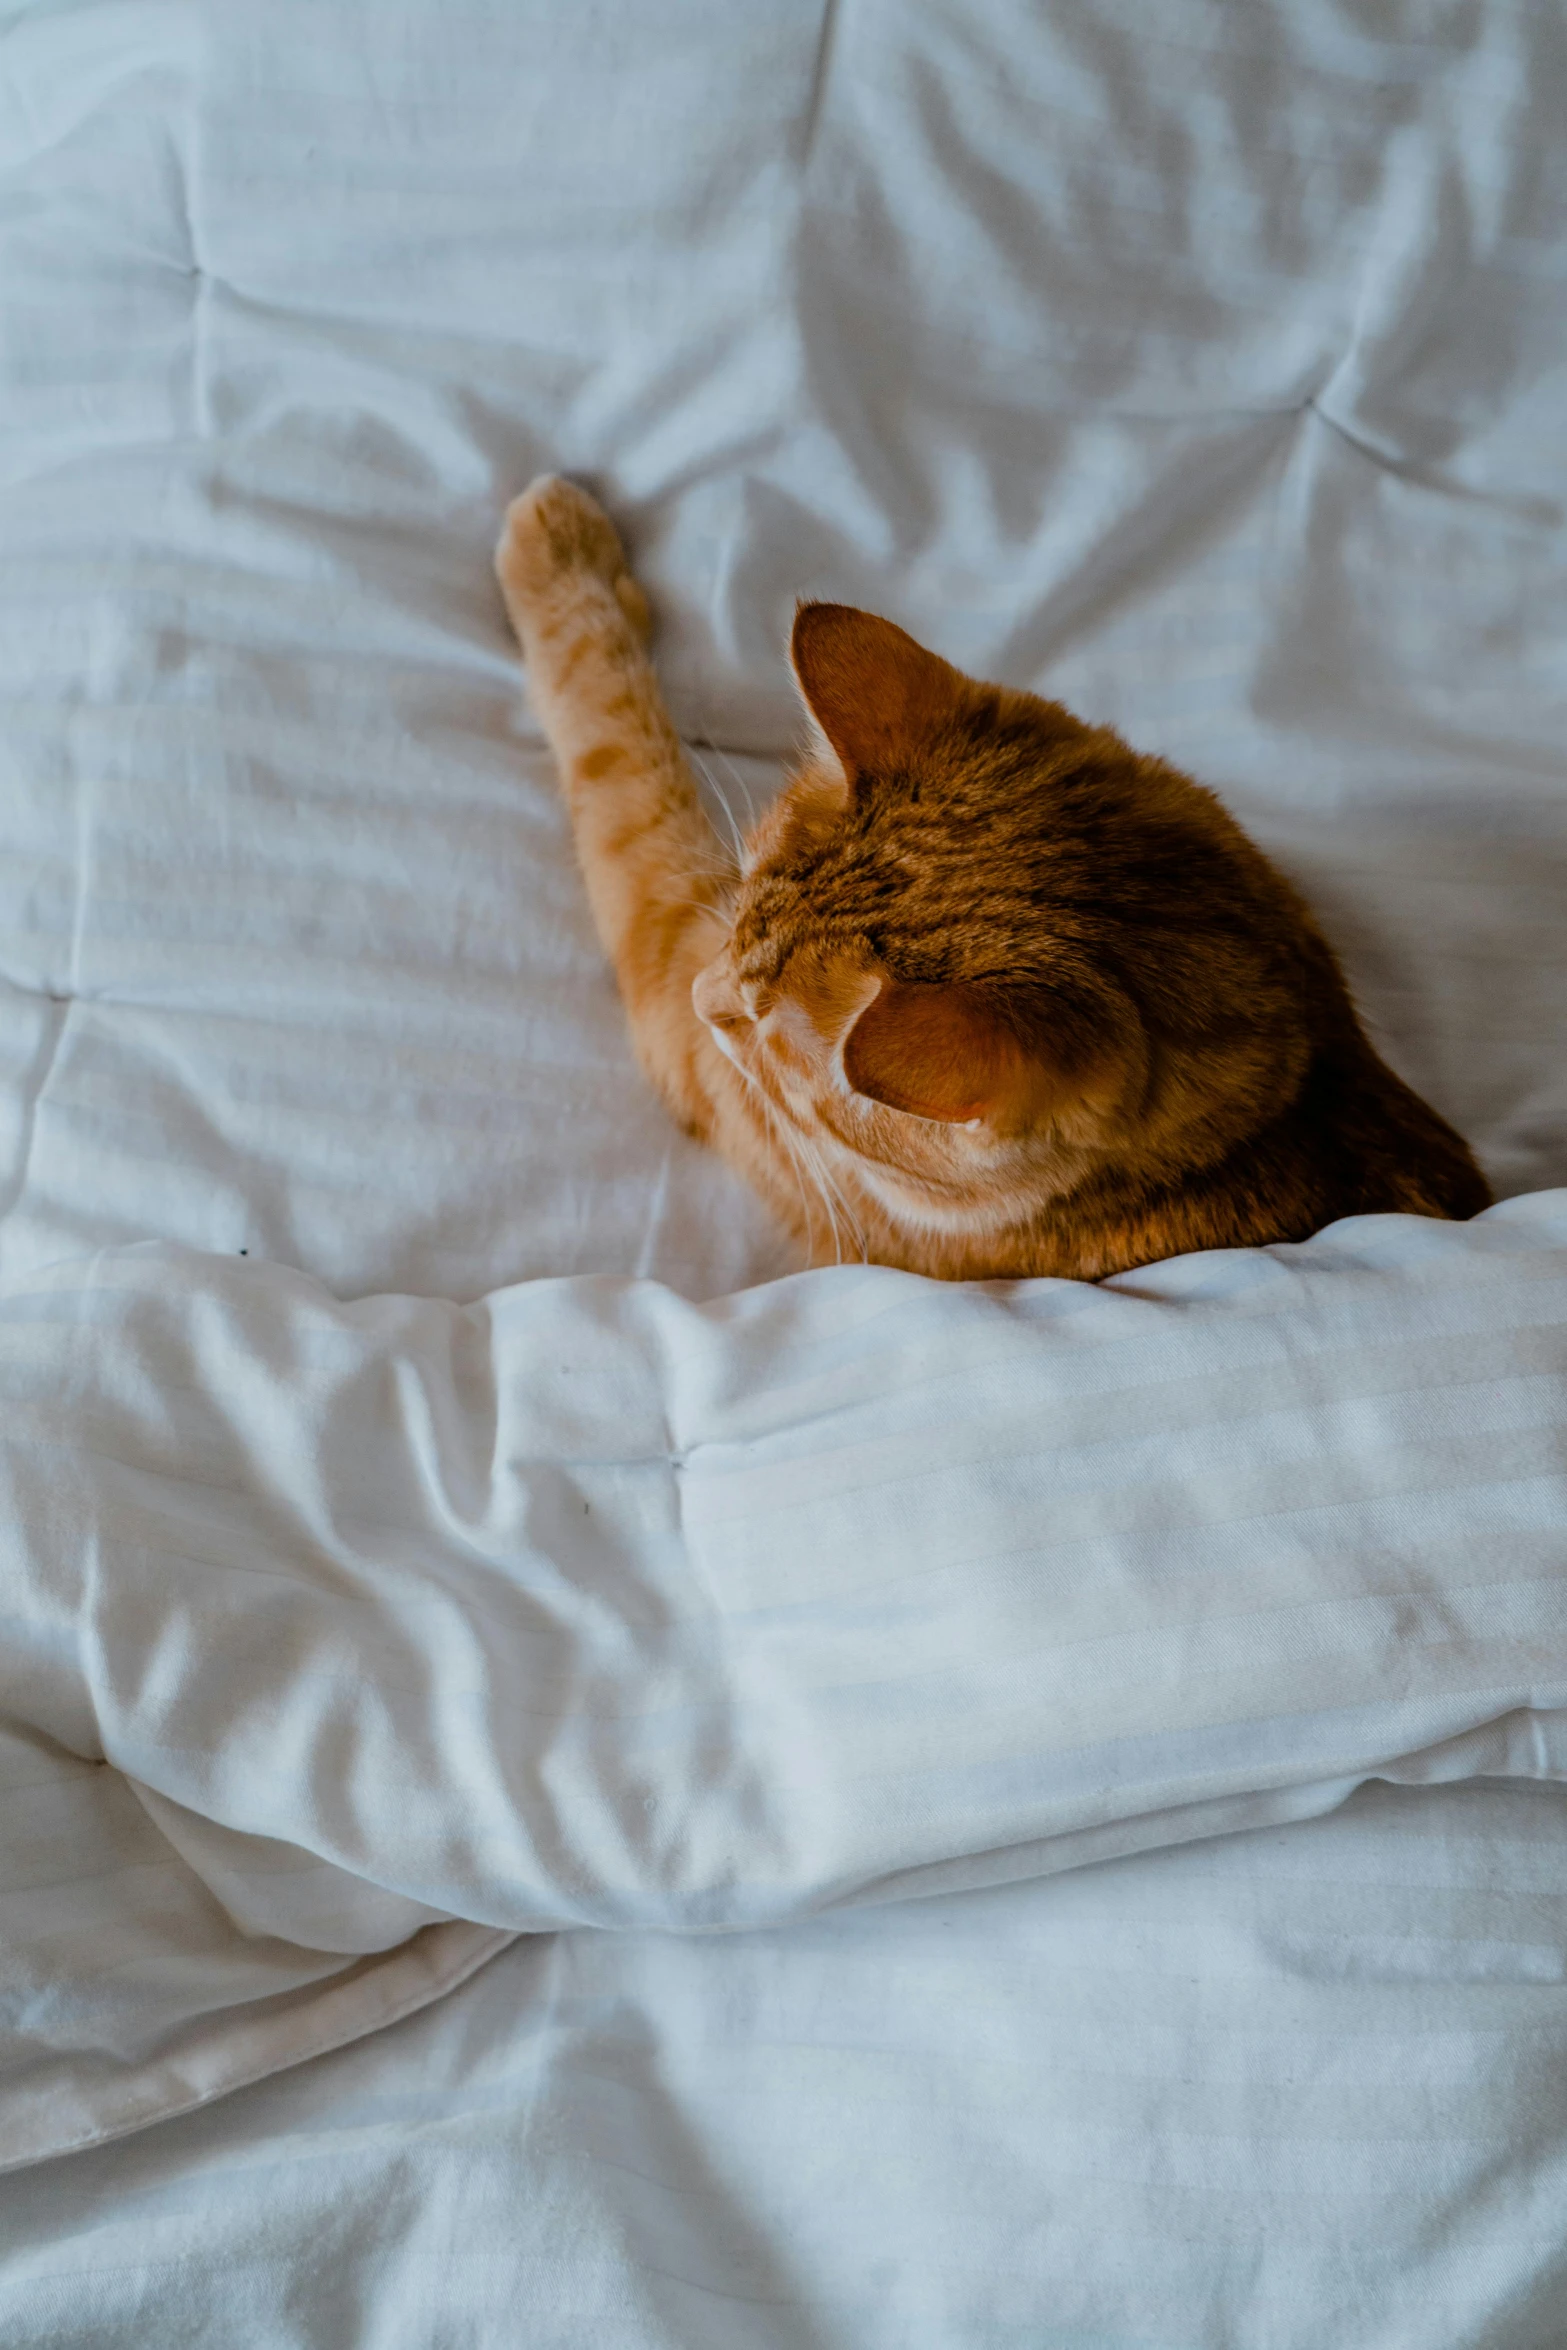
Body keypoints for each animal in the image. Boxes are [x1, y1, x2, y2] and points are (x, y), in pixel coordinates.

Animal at [495, 474, 1494, 1278]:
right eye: (738, 916)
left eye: (760, 1029)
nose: (710, 999)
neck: (1286, 1100)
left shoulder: (684, 998)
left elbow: (618, 740)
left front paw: (559, 551)